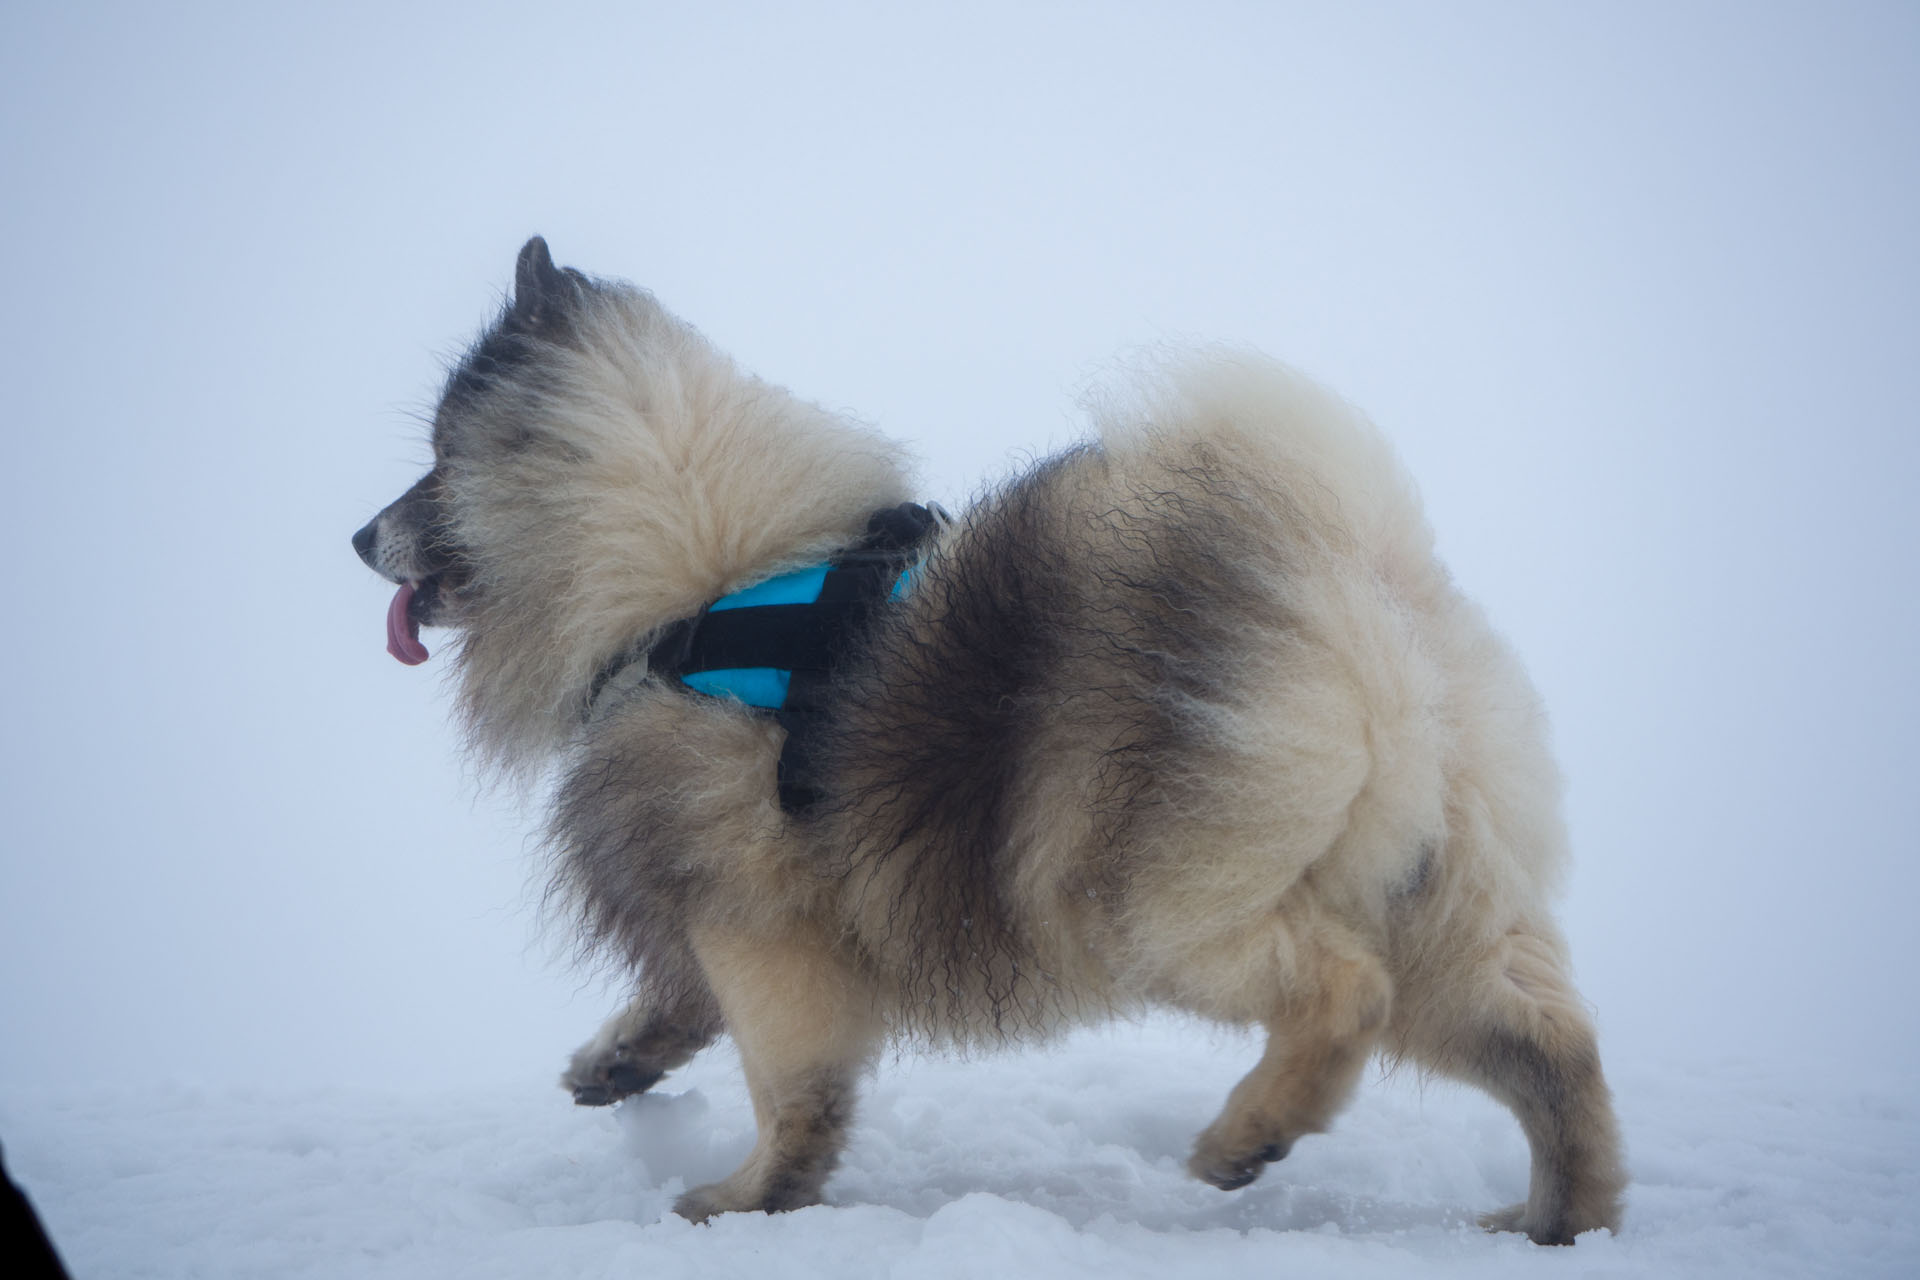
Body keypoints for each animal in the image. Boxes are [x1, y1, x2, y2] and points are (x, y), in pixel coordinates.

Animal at [349, 237, 1620, 1243]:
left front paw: (753, 1194)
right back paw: (1562, 1216)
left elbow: (786, 1076)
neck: (692, 583)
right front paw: (615, 1065)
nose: (360, 535)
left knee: (1341, 990)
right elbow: (681, 1006)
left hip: (1148, 901)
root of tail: (1356, 577)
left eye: (435, 465)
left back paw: (1244, 1136)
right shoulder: (706, 914)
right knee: (1547, 1046)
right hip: (1427, 898)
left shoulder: (756, 921)